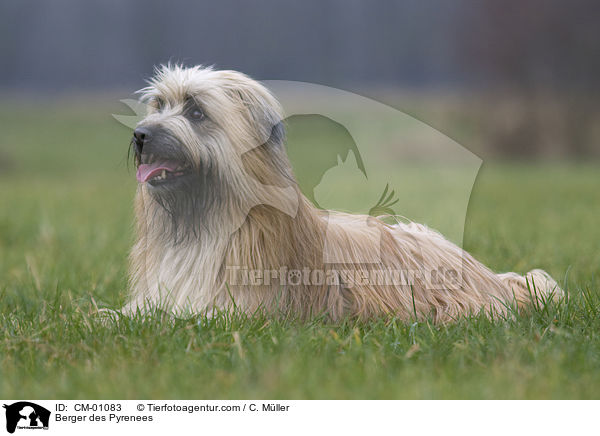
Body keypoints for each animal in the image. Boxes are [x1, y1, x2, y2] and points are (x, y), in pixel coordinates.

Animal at [120, 65, 564, 324]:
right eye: (159, 104)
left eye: (196, 112)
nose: (140, 135)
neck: (206, 220)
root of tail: (489, 277)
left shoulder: (239, 309)